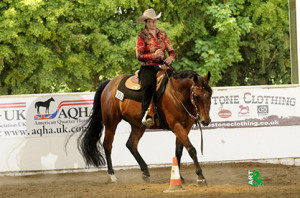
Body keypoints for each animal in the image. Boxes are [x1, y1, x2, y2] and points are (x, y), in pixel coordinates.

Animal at [78, 70, 212, 186]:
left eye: (210, 94)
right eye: (196, 96)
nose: (206, 121)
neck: (177, 95)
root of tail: (110, 83)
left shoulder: (185, 127)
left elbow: (179, 151)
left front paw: (179, 177)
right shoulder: (176, 126)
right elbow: (191, 149)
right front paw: (201, 177)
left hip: (138, 125)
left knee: (131, 144)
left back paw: (146, 172)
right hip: (111, 122)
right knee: (107, 145)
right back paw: (112, 176)